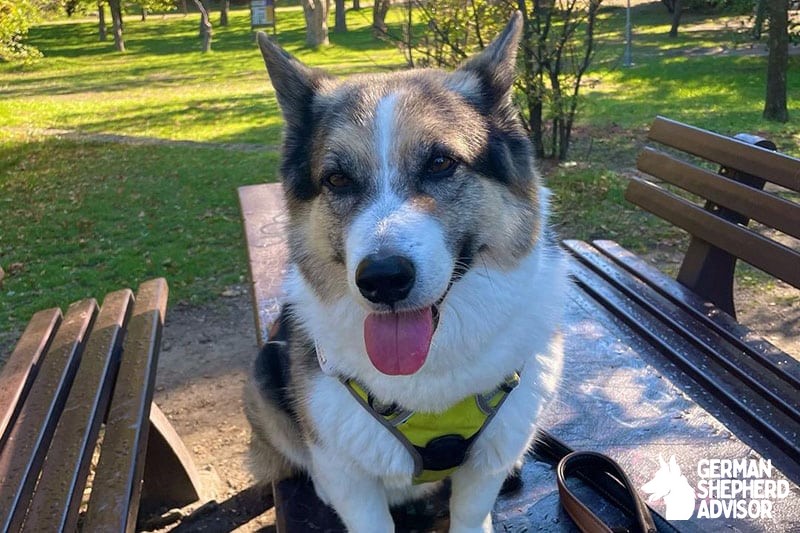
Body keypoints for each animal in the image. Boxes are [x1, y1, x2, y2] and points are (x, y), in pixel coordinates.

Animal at [245, 13, 568, 532]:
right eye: (337, 179)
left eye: (440, 163)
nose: (382, 280)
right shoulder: (349, 474)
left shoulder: (484, 466)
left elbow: (471, 511)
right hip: (262, 376)